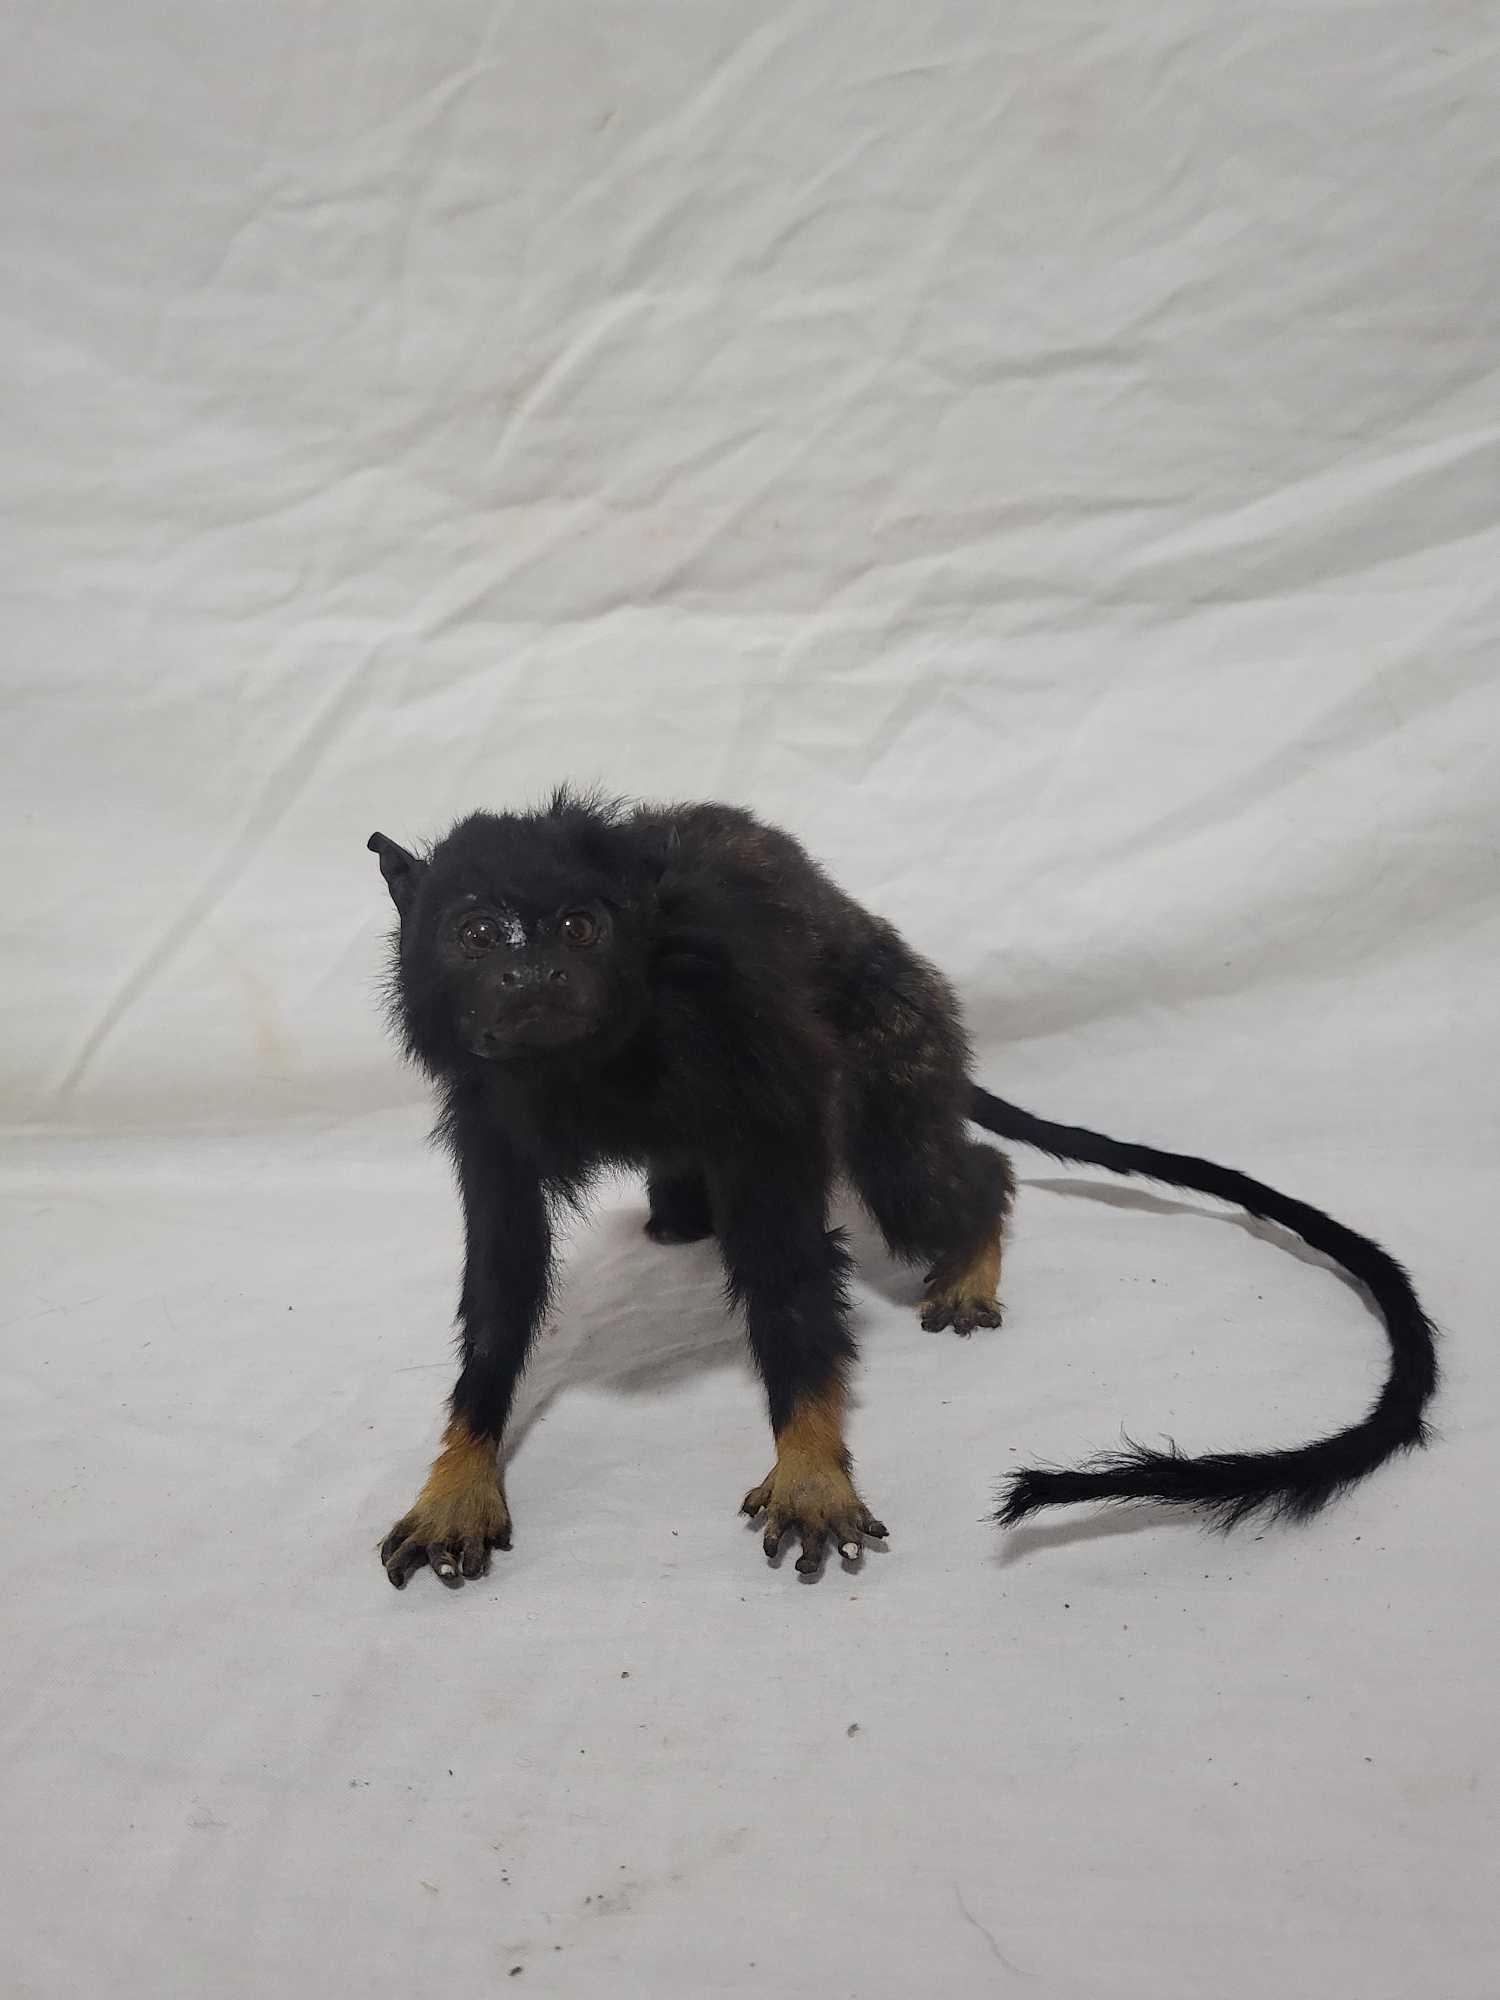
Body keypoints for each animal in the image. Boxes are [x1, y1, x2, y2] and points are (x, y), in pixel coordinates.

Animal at [367, 787, 1437, 1590]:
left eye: (580, 928)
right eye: (476, 934)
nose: (533, 975)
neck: (590, 1066)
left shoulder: (744, 1045)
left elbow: (789, 1266)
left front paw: (810, 1463)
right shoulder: (488, 1108)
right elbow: (503, 1278)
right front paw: (458, 1476)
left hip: (899, 1023)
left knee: (918, 1170)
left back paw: (972, 1249)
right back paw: (680, 1214)